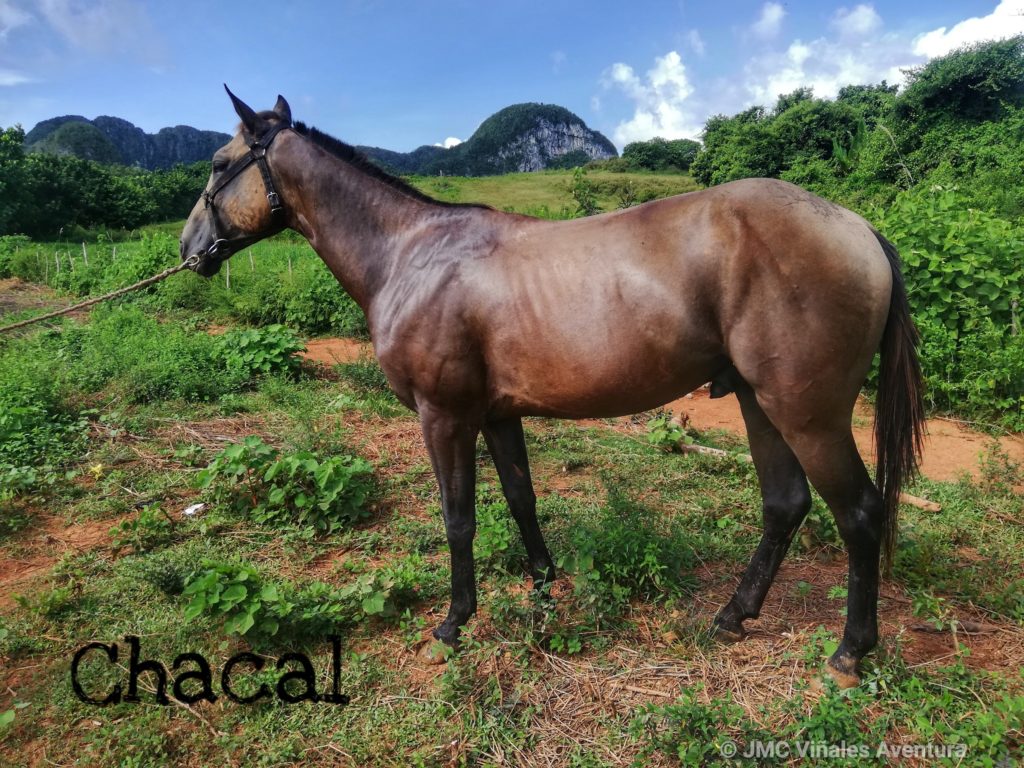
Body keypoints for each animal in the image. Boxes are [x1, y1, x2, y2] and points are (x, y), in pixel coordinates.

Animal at [180, 89, 925, 688]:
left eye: (218, 164)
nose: (189, 249)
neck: (411, 256)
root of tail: (857, 227)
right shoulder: (495, 414)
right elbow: (521, 498)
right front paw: (544, 586)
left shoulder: (443, 416)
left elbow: (459, 517)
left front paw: (455, 621)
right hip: (758, 402)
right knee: (785, 504)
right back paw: (734, 615)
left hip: (807, 414)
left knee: (859, 512)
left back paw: (850, 652)